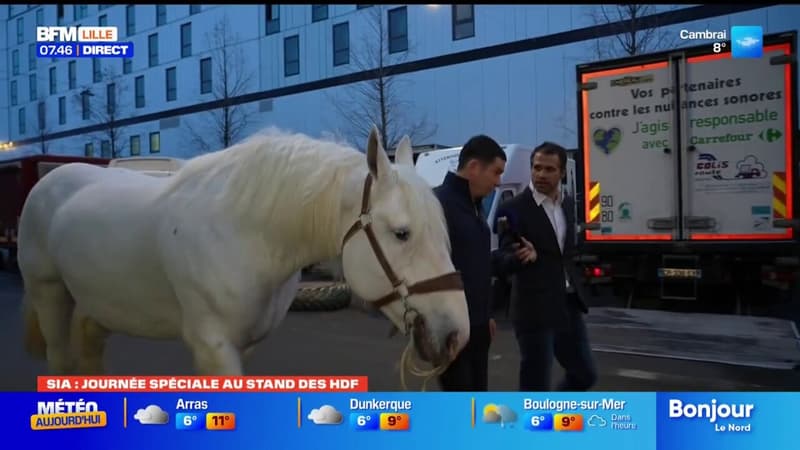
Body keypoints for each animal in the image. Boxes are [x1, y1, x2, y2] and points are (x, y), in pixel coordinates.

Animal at [18, 126, 472, 380]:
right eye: (401, 233)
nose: (457, 336)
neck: (246, 234)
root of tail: (50, 181)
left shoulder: (246, 346)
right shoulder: (213, 346)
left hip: (102, 304)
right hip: (49, 293)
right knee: (62, 362)